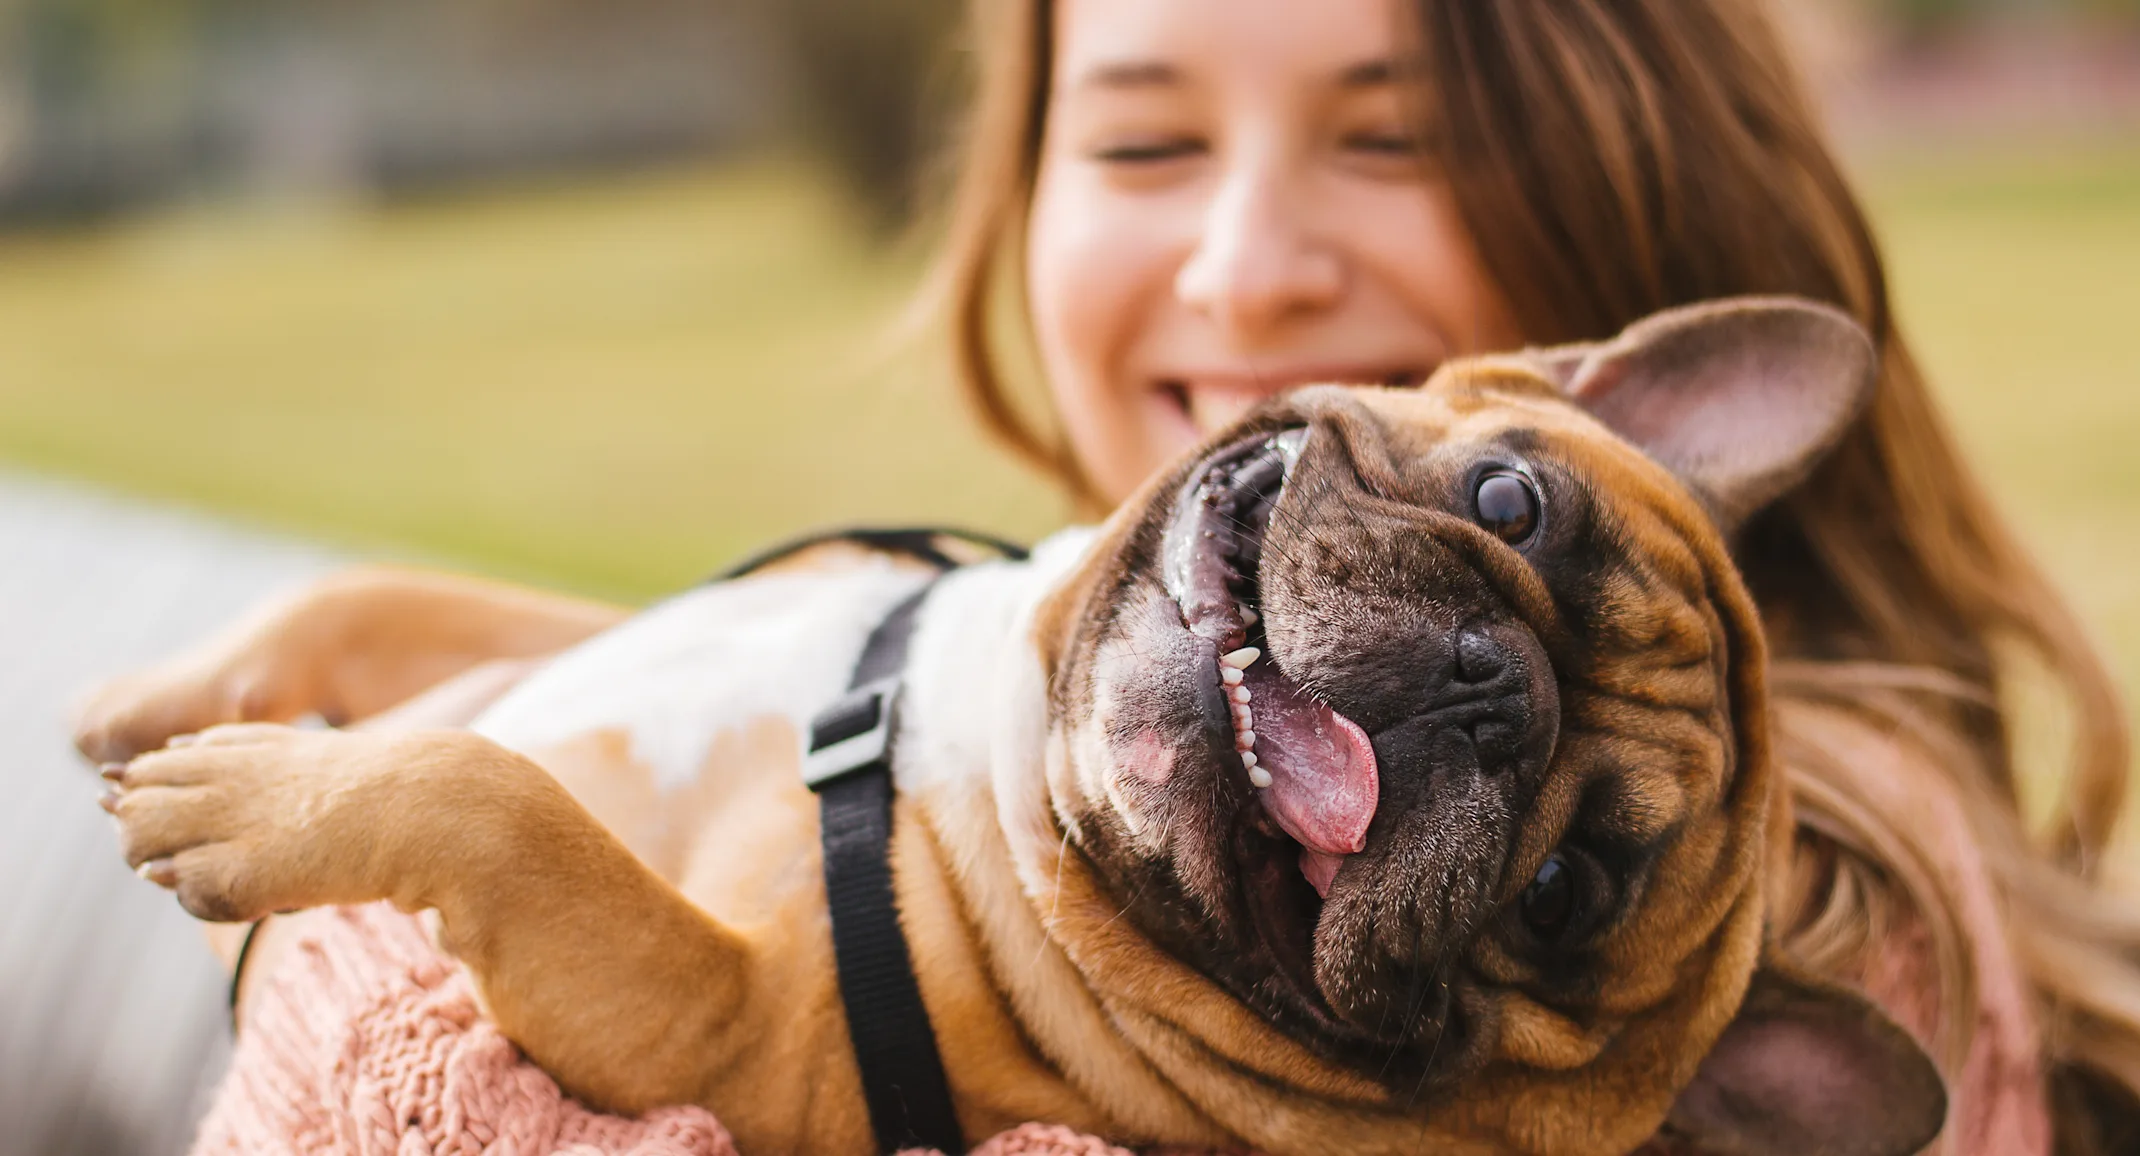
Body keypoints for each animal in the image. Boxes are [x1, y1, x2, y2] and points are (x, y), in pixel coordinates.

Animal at [79, 293, 1943, 1147]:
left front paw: (254, 800)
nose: (1491, 688)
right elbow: (381, 602)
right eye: (1512, 499)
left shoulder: (715, 1037)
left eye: (1562, 897)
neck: (985, 744)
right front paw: (159, 700)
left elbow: (503, 804)